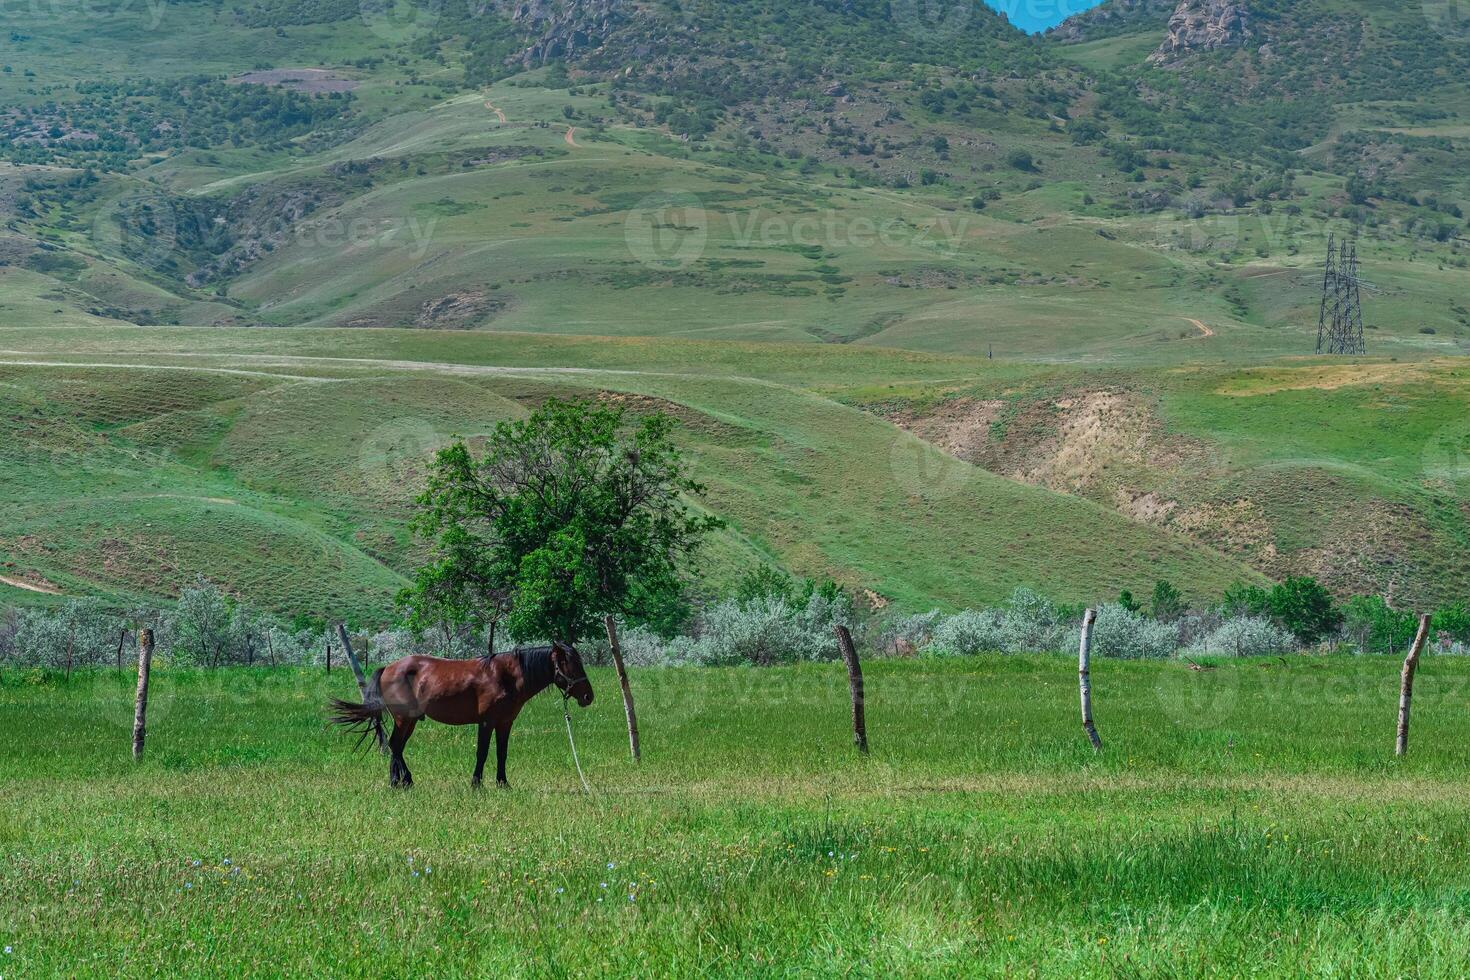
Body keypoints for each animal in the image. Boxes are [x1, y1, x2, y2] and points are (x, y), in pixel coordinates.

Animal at [329, 643, 590, 787]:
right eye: (571, 664)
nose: (588, 696)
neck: (505, 676)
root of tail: (389, 668)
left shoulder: (505, 723)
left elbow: (502, 753)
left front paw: (503, 783)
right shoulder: (486, 722)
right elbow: (482, 753)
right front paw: (476, 783)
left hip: (410, 721)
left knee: (398, 747)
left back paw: (403, 781)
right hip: (404, 719)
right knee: (395, 746)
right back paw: (399, 781)